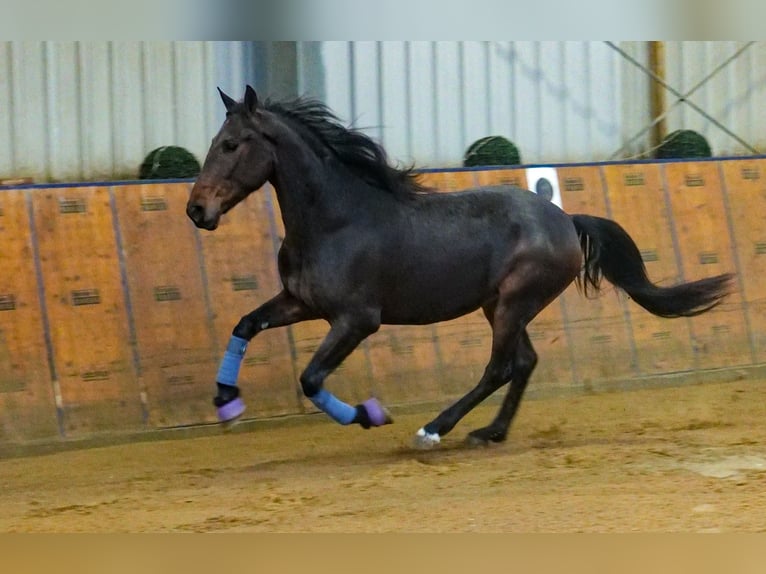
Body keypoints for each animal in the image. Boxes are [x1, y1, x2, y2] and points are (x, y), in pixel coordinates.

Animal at [184, 85, 732, 450]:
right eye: (214, 141)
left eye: (231, 144)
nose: (196, 210)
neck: (336, 220)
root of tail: (564, 219)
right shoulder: (300, 302)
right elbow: (245, 324)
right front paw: (227, 403)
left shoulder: (356, 320)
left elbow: (311, 379)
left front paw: (369, 414)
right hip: (500, 306)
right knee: (524, 362)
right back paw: (490, 432)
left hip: (514, 302)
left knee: (500, 367)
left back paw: (433, 429)